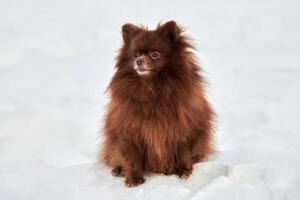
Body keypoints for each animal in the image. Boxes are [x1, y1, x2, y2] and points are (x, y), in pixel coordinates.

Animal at [99, 21, 214, 187]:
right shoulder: (129, 131)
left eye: (155, 54)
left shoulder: (183, 127)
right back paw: (118, 169)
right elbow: (132, 157)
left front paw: (184, 171)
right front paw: (134, 179)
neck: (151, 87)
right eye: (135, 54)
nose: (139, 60)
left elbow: (183, 151)